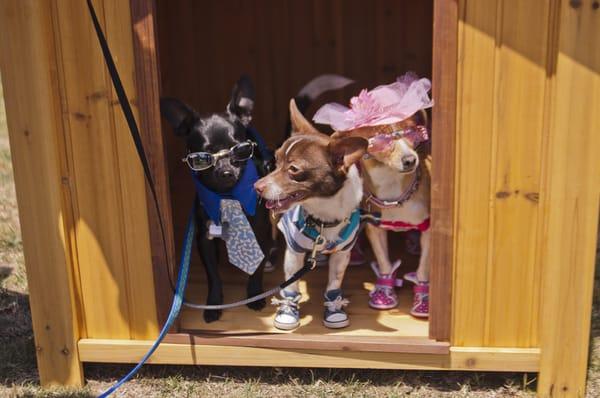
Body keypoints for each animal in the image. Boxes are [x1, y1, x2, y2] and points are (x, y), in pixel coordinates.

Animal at [159, 76, 272, 322]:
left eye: (239, 149)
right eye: (204, 157)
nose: (226, 171)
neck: (227, 195)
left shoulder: (261, 232)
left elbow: (257, 268)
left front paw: (254, 295)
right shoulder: (204, 239)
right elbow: (213, 275)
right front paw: (213, 304)